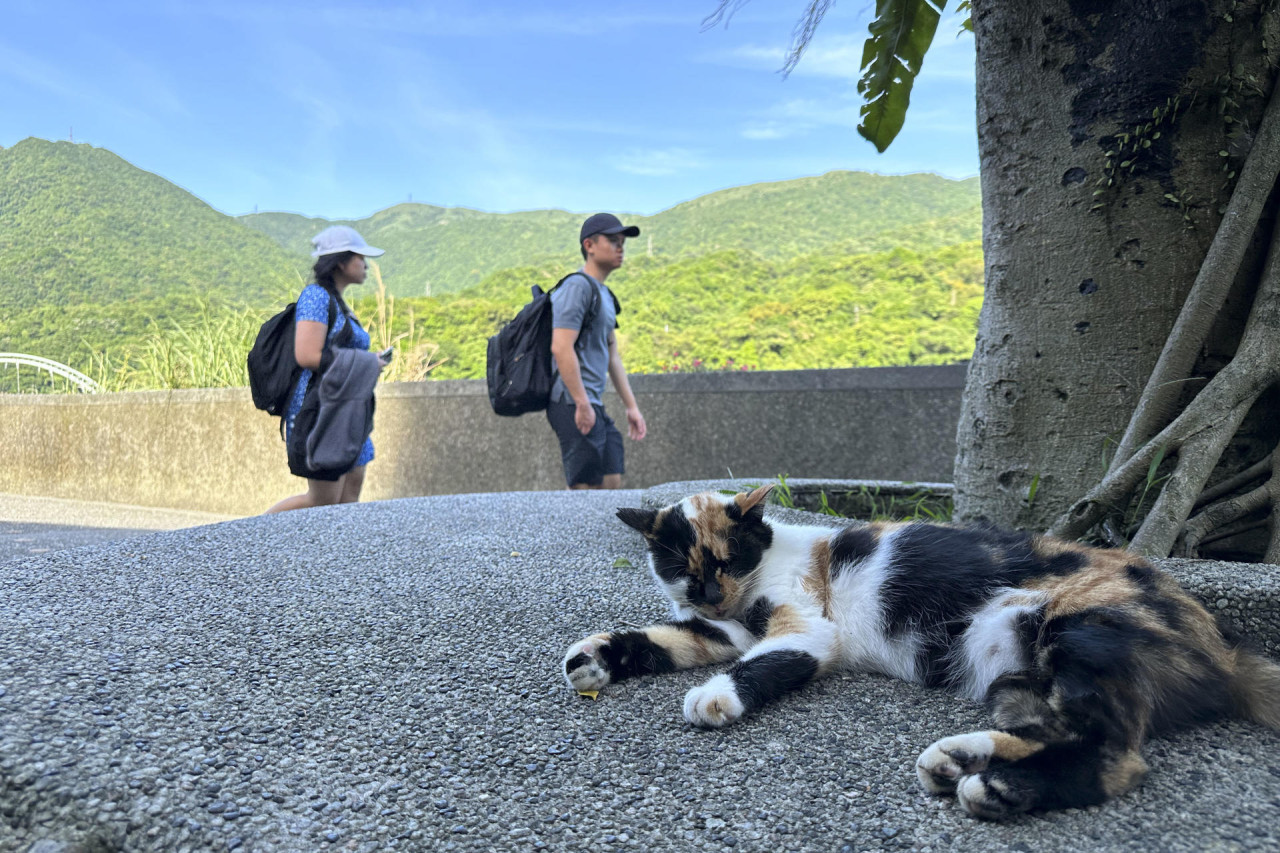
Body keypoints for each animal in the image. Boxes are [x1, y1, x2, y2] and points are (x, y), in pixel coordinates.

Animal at [565, 484, 1280, 819]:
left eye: (729, 558)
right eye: (681, 569)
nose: (712, 593)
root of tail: (1223, 644)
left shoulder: (804, 629)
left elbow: (763, 661)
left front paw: (716, 697)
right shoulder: (723, 630)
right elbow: (667, 639)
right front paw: (596, 656)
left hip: (1079, 633)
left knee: (1116, 753)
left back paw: (999, 788)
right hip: (1018, 677)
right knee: (1057, 728)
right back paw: (962, 758)